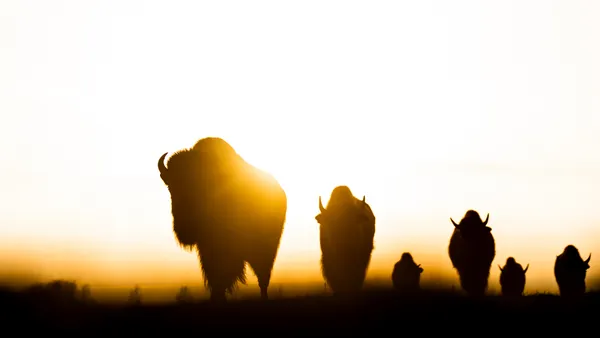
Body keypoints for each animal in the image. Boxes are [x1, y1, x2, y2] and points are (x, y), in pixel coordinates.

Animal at [157, 137, 288, 302]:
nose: (185, 228)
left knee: (262, 275)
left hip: (265, 248)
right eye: (171, 186)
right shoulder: (206, 248)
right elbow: (214, 275)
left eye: (197, 184)